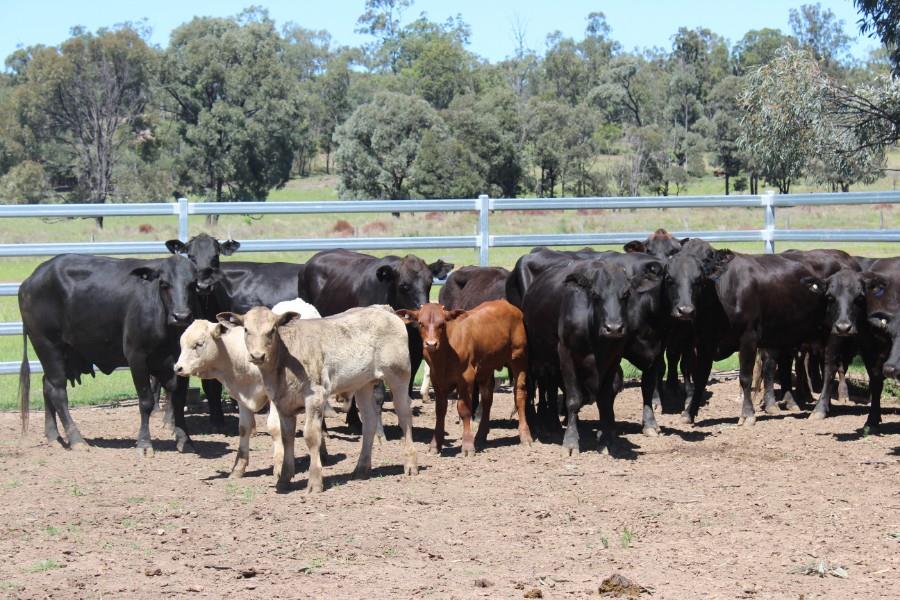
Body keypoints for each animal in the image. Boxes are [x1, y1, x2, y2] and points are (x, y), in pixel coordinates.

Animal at [18, 254, 200, 455]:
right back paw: (76, 440)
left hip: (62, 353)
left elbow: (179, 400)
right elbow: (146, 402)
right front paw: (144, 444)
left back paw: (53, 436)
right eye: (164, 284)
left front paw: (185, 440)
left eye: (193, 284)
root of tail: (31, 280)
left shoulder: (181, 363)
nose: (181, 316)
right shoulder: (137, 358)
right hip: (48, 346)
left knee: (46, 384)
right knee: (57, 391)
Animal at [217, 305, 416, 492]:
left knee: (404, 414)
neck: (285, 360)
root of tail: (383, 309)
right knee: (369, 421)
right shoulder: (282, 403)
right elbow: (287, 437)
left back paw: (410, 465)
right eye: (246, 329)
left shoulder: (315, 397)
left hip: (399, 374)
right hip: (363, 384)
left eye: (272, 329)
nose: (257, 355)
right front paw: (284, 480)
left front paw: (315, 482)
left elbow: (311, 436)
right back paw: (361, 469)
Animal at [397, 300, 531, 456]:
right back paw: (480, 436)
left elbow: (464, 409)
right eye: (420, 323)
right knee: (487, 399)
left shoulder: (466, 378)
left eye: (442, 323)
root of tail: (508, 304)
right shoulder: (437, 381)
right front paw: (435, 444)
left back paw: (525, 436)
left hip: (519, 358)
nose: (431, 344)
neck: (444, 356)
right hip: (486, 367)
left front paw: (467, 445)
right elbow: (440, 410)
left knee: (519, 394)